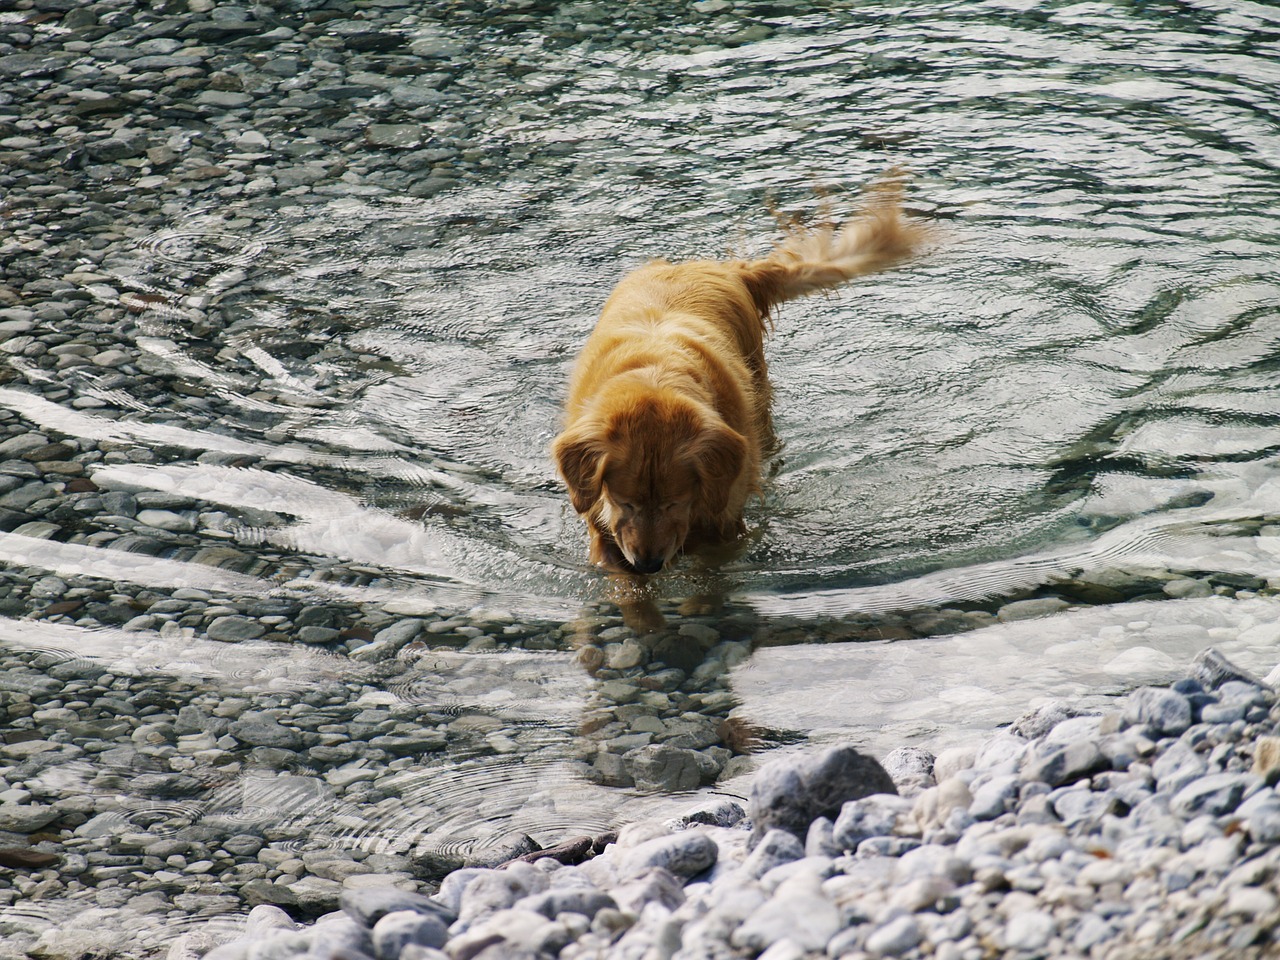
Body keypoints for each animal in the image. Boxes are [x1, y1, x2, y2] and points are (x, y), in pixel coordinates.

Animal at [555, 172, 926, 624]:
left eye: (675, 502)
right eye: (624, 501)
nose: (650, 563)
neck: (654, 376)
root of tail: (720, 268)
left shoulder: (723, 523)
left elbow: (710, 578)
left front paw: (699, 613)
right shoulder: (604, 527)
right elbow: (627, 587)